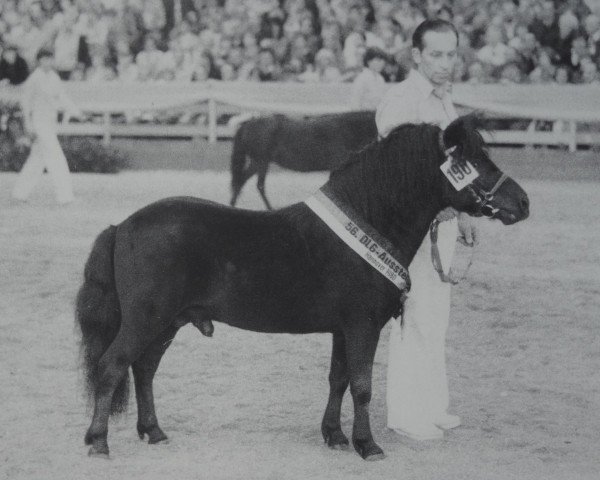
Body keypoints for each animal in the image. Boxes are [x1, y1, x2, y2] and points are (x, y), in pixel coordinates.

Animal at [229, 112, 376, 210]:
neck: (345, 130)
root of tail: (247, 124)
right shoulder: (339, 164)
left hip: (258, 162)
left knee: (242, 182)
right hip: (261, 161)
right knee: (256, 185)